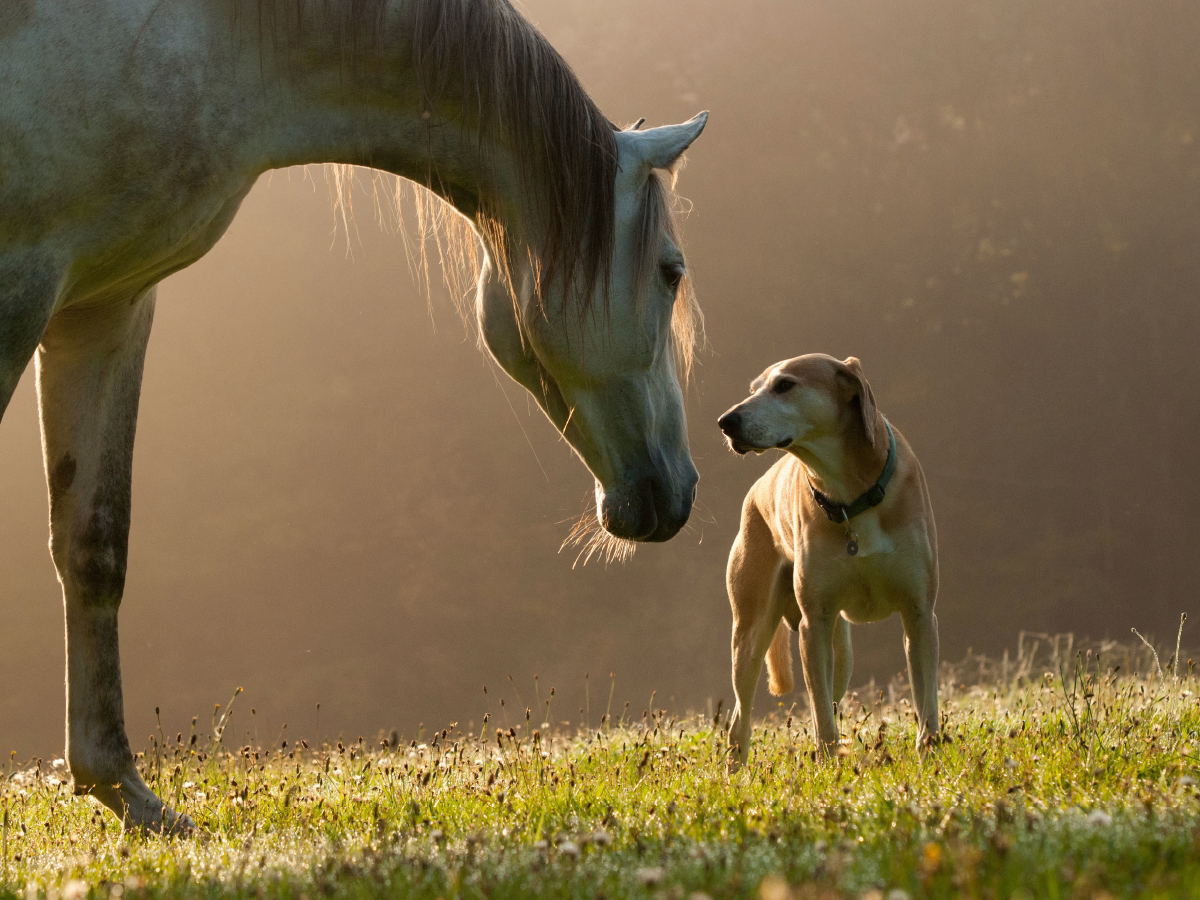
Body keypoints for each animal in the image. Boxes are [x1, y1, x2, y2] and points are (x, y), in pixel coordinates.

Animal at [0, 0, 705, 830]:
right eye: (671, 271)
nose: (679, 489)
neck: (204, 32)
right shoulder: (21, 284)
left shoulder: (105, 304)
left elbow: (94, 543)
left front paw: (120, 787)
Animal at [715, 355, 940, 763]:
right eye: (753, 389)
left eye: (785, 385)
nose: (726, 421)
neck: (851, 494)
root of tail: (756, 490)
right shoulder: (814, 623)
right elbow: (820, 712)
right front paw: (828, 761)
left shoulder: (919, 613)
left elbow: (926, 697)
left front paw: (930, 755)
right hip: (751, 633)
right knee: (741, 716)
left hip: (843, 652)